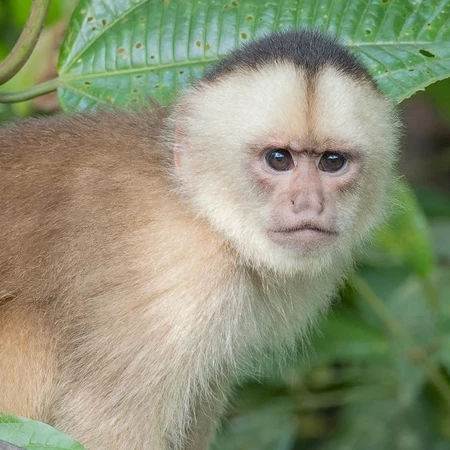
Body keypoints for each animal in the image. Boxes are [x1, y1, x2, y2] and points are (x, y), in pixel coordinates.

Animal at [0, 30, 400, 450]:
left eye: (332, 162)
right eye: (278, 159)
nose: (309, 203)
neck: (203, 212)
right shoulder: (175, 274)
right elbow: (106, 428)